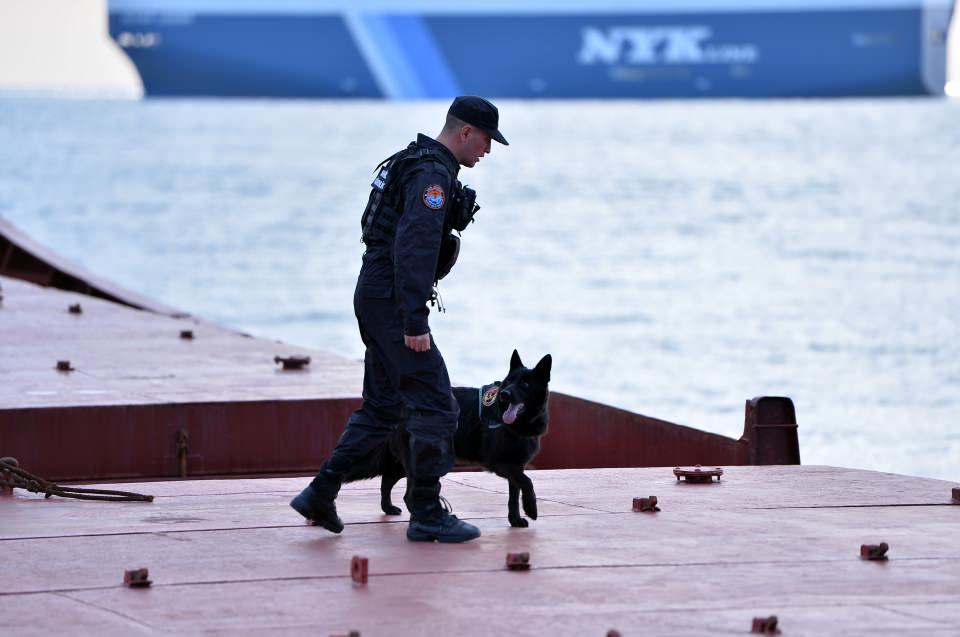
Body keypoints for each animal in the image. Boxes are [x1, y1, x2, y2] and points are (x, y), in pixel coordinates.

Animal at [340, 349, 552, 528]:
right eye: (508, 382)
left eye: (525, 384)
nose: (505, 395)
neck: (518, 425)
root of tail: (401, 408)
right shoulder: (500, 464)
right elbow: (527, 482)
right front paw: (531, 508)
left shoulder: (516, 466)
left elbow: (514, 495)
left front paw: (515, 520)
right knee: (408, 494)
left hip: (404, 464)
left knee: (387, 480)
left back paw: (389, 508)